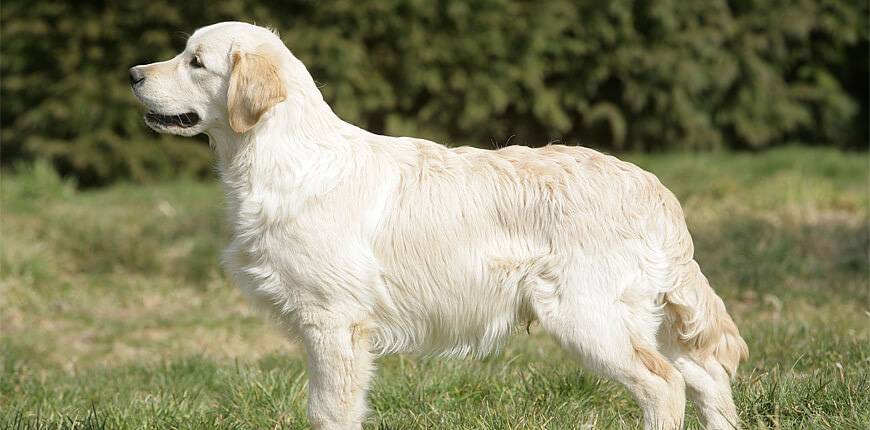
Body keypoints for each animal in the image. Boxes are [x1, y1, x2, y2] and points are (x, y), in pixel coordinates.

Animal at [129, 21, 748, 428]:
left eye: (195, 62)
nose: (133, 73)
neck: (287, 158)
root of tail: (652, 187)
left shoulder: (334, 324)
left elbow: (328, 412)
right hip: (645, 315)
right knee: (706, 376)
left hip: (587, 315)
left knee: (664, 385)